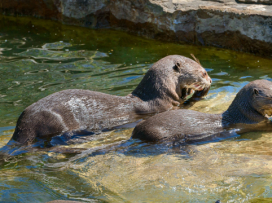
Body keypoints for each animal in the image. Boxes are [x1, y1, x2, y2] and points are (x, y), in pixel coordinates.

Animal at [9, 54, 212, 145]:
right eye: (203, 72)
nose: (210, 80)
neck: (155, 95)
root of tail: (24, 123)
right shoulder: (165, 107)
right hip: (55, 121)